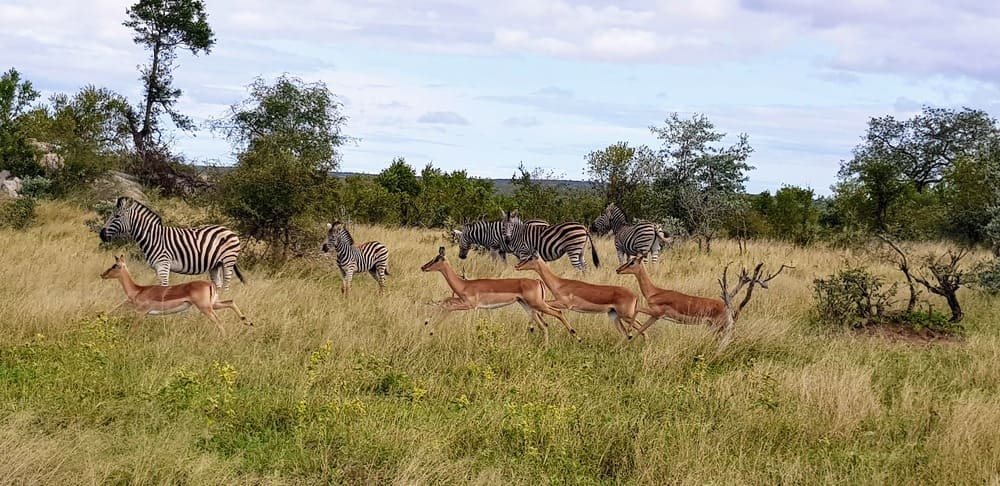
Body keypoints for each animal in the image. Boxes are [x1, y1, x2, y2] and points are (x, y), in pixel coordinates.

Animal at [98, 196, 246, 288]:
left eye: (117, 216)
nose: (101, 234)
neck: (153, 237)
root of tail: (230, 231)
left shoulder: (163, 265)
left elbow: (164, 288)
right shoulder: (157, 268)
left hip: (228, 261)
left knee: (226, 286)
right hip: (216, 265)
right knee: (218, 285)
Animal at [101, 254, 252, 338]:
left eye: (115, 265)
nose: (102, 274)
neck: (138, 290)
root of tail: (210, 284)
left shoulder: (140, 312)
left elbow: (132, 329)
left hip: (205, 308)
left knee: (219, 321)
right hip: (213, 304)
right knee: (231, 302)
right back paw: (247, 322)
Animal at [420, 245, 580, 344]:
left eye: (436, 259)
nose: (423, 267)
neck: (464, 284)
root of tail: (537, 281)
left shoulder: (470, 305)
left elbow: (448, 307)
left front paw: (430, 330)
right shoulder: (461, 300)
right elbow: (445, 300)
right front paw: (427, 322)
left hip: (538, 305)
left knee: (558, 313)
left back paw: (576, 337)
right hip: (528, 306)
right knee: (544, 325)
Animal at [516, 254, 648, 338]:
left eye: (530, 258)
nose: (517, 266)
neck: (560, 284)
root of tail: (635, 296)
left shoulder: (564, 304)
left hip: (627, 316)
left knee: (643, 331)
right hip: (615, 316)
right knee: (627, 334)